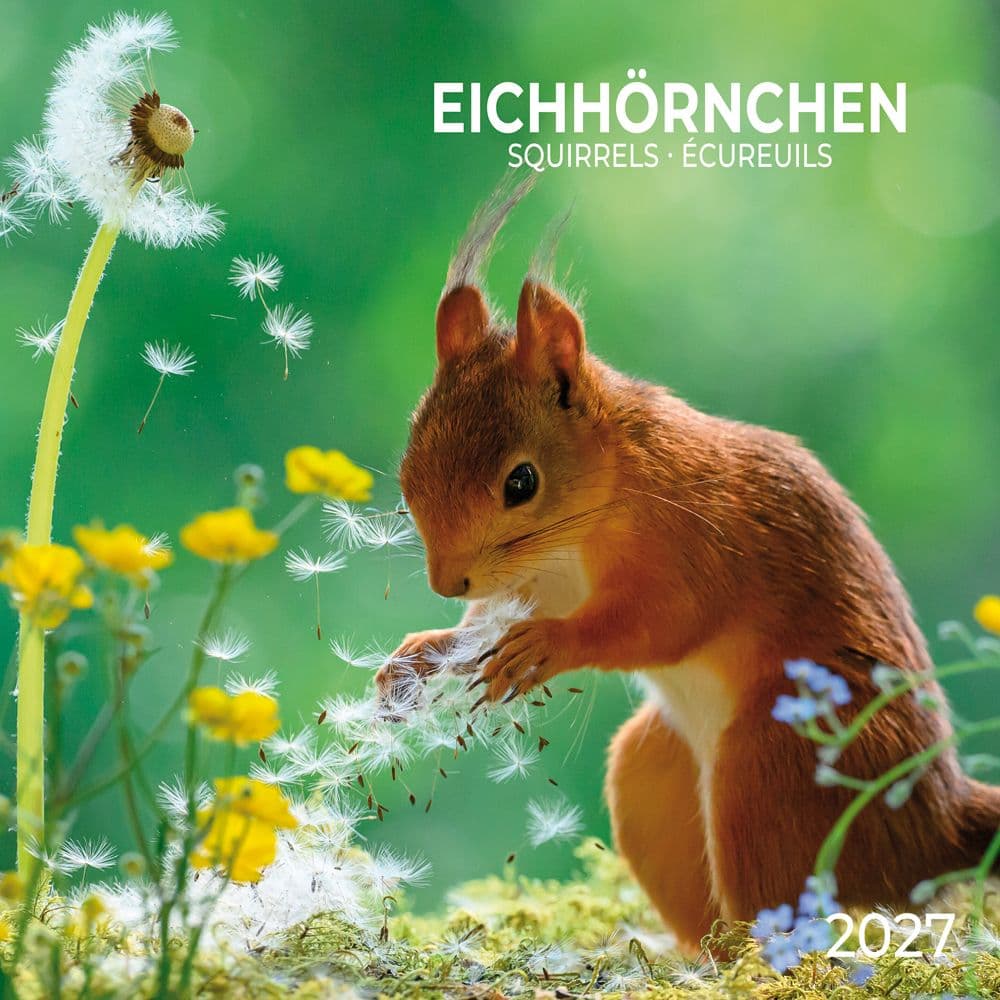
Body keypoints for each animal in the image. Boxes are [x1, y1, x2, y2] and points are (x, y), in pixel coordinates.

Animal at [377, 179, 1000, 953]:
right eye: (409, 469)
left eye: (521, 483)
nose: (444, 582)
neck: (600, 503)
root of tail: (932, 829)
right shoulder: (538, 581)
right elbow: (486, 621)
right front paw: (418, 656)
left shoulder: (695, 541)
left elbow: (660, 623)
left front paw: (548, 644)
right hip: (653, 771)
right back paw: (694, 956)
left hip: (775, 768)